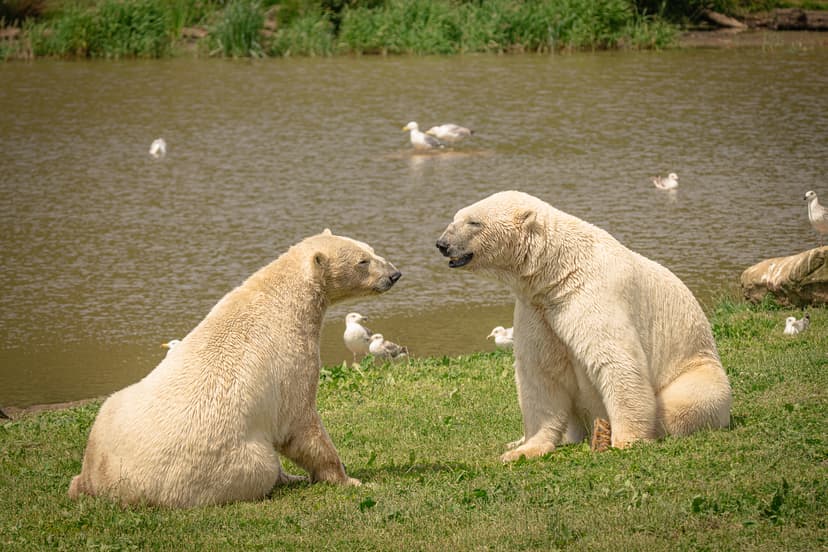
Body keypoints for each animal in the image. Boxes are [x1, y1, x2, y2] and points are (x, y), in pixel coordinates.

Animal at [68, 230, 401, 507]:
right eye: (363, 260)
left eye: (371, 249)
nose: (395, 274)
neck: (279, 298)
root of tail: (99, 483)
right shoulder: (289, 364)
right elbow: (301, 425)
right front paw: (349, 479)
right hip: (228, 464)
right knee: (261, 465)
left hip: (110, 413)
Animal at [436, 191, 731, 461]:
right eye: (456, 217)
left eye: (474, 222)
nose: (442, 244)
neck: (559, 270)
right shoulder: (536, 310)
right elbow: (540, 374)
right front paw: (523, 450)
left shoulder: (593, 295)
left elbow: (616, 361)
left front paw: (626, 441)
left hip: (698, 369)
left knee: (683, 402)